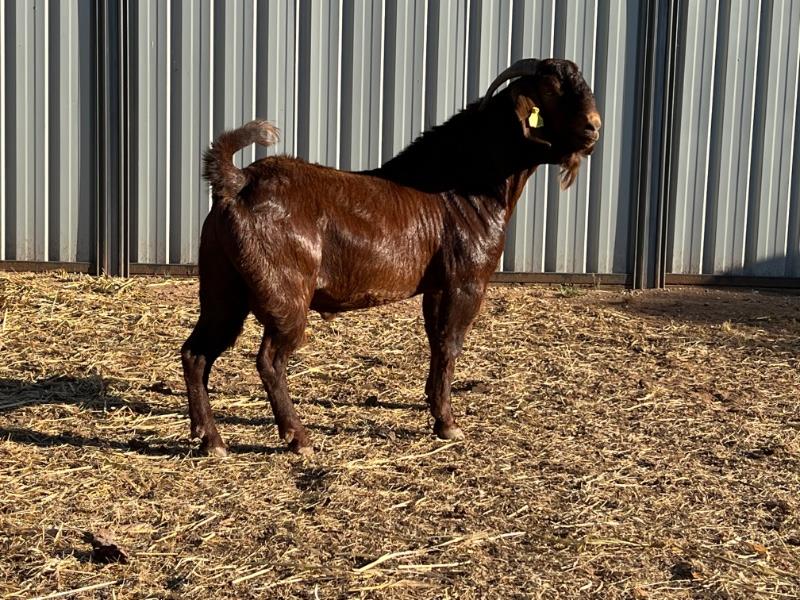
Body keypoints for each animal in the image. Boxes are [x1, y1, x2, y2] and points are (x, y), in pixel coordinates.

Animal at [182, 58, 601, 456]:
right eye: (550, 91)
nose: (594, 128)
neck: (460, 188)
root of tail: (238, 181)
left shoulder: (435, 287)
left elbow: (436, 342)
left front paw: (436, 410)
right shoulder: (464, 282)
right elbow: (449, 345)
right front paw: (448, 424)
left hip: (223, 288)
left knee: (195, 353)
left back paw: (211, 441)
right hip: (284, 291)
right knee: (269, 360)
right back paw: (297, 438)